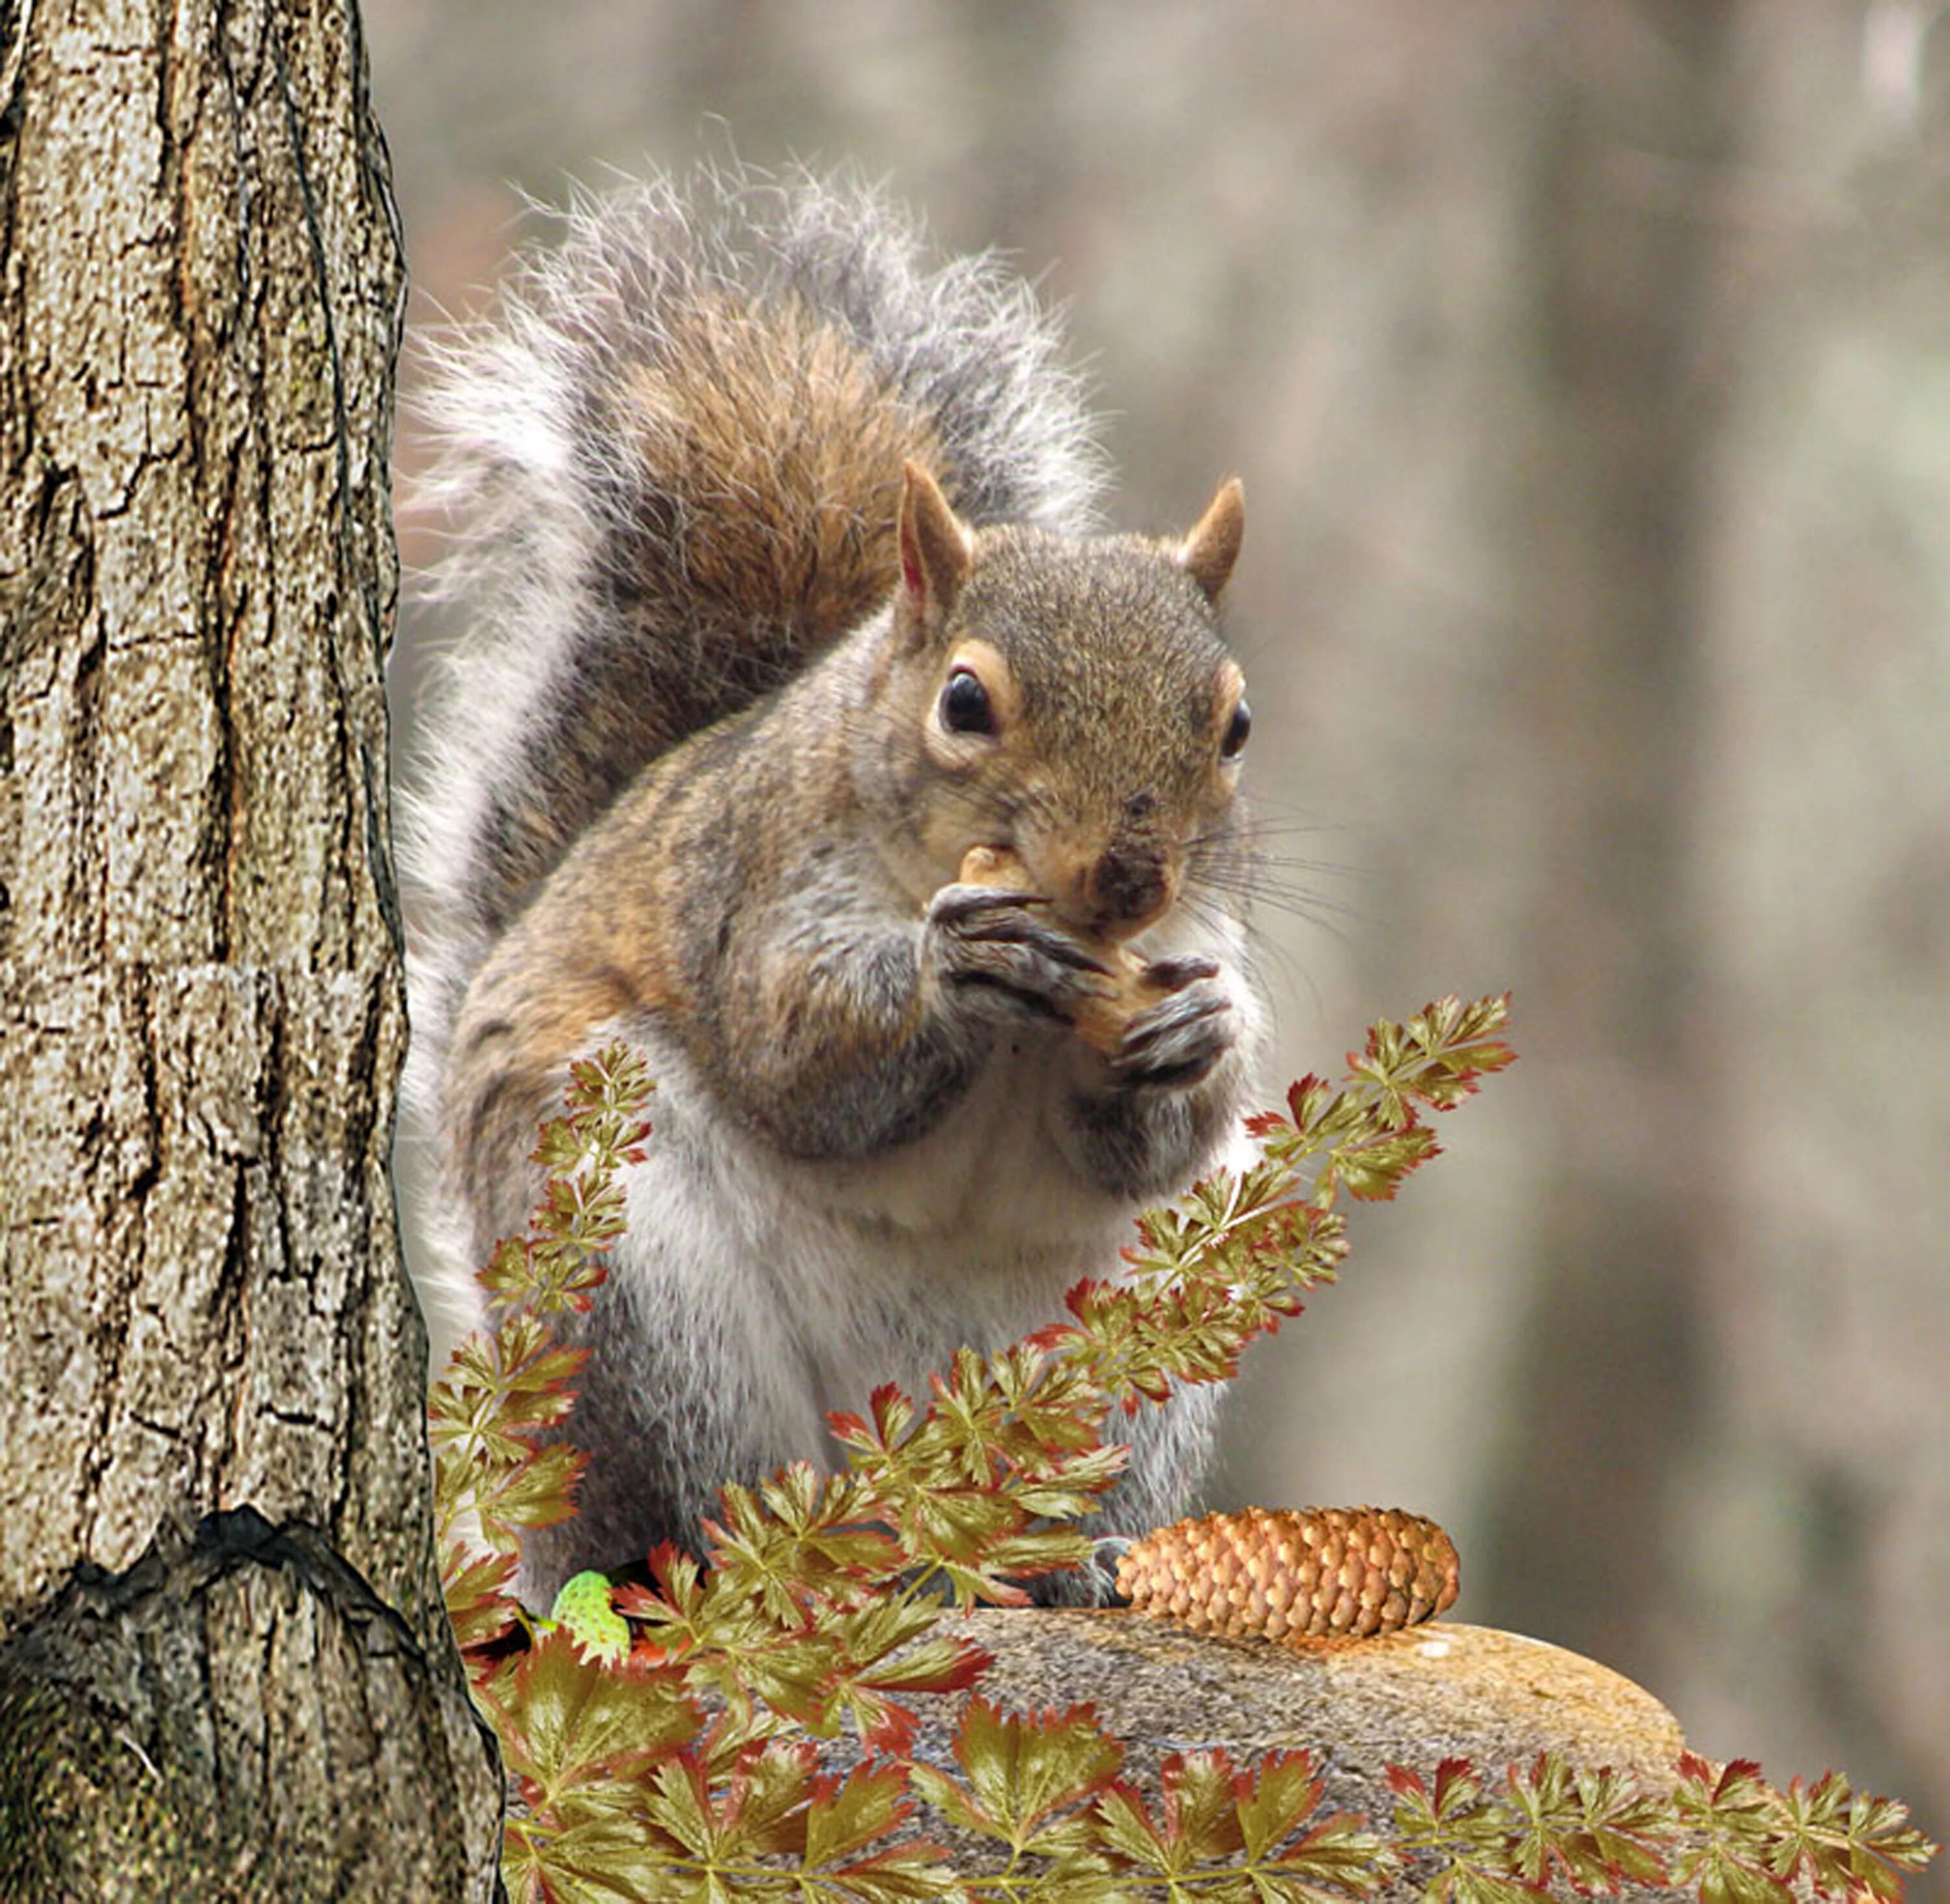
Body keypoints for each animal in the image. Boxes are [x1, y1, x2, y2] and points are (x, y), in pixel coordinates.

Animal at [404, 168, 1271, 1607]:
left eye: (1237, 725)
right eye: (966, 703)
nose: (1130, 874)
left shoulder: (1196, 930)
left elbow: (1149, 1139)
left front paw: (1200, 1033)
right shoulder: (749, 885)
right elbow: (793, 1058)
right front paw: (951, 971)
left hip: (1145, 1331)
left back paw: (1075, 1562)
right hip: (632, 1290)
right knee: (680, 1514)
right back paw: (754, 1560)